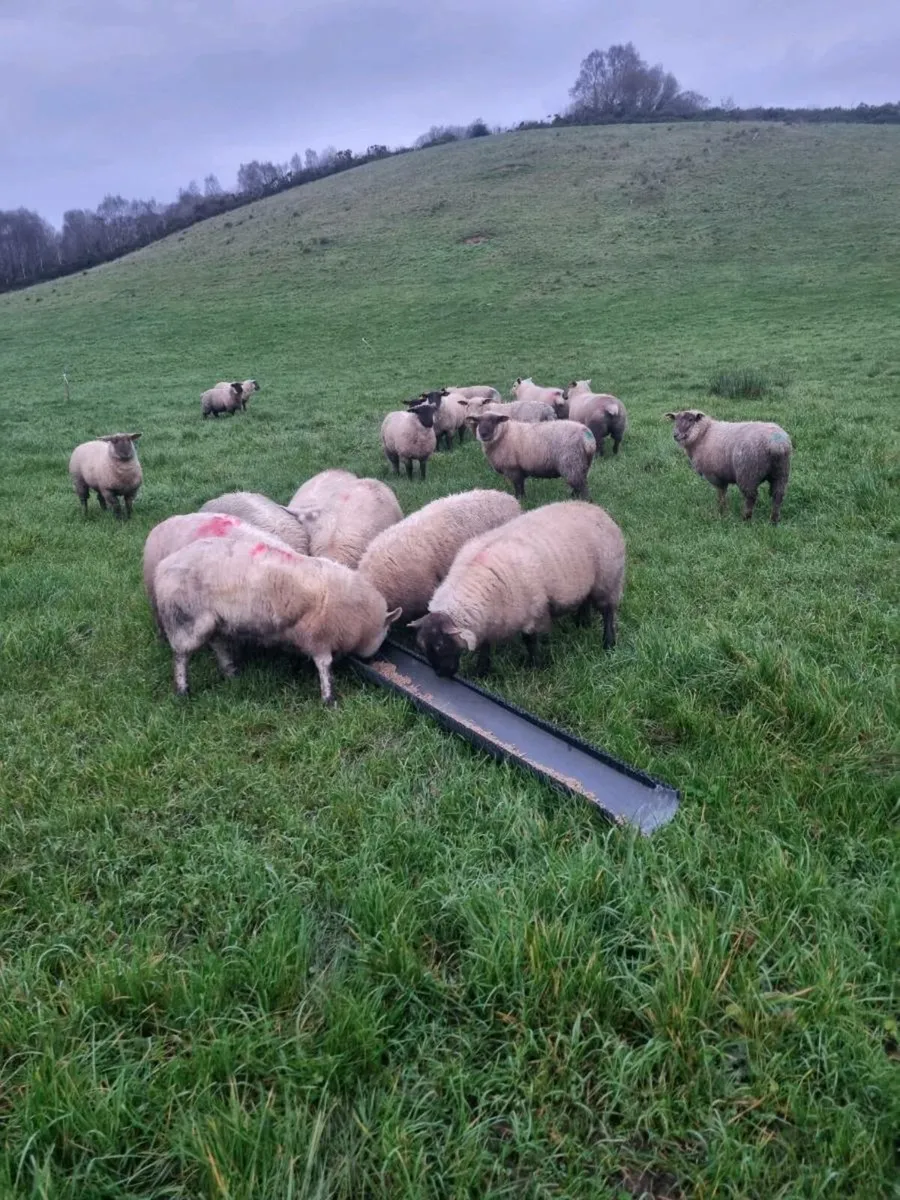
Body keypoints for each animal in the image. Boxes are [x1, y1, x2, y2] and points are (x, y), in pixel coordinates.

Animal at [154, 535, 401, 704]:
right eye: (387, 631)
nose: (375, 658)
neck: (359, 616)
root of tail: (163, 566)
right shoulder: (318, 637)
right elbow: (324, 665)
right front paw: (329, 698)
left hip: (213, 622)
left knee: (218, 645)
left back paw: (231, 673)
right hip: (185, 620)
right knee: (181, 656)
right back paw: (182, 689)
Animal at [408, 500, 625, 677]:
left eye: (440, 645)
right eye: (422, 647)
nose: (441, 675)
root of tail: (597, 509)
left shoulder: (534, 613)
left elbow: (530, 641)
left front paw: (534, 665)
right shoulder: (489, 622)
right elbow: (484, 648)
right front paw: (481, 671)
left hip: (608, 579)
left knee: (608, 612)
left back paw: (608, 643)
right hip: (591, 580)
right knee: (586, 599)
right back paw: (582, 621)